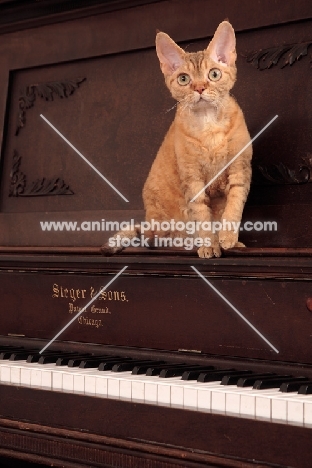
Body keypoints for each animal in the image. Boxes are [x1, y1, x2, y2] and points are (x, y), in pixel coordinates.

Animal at [102, 20, 251, 258]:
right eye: (183, 79)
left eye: (214, 74)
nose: (199, 88)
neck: (209, 125)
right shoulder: (192, 178)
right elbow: (201, 215)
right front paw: (209, 245)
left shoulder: (241, 169)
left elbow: (234, 207)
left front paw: (229, 239)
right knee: (154, 239)